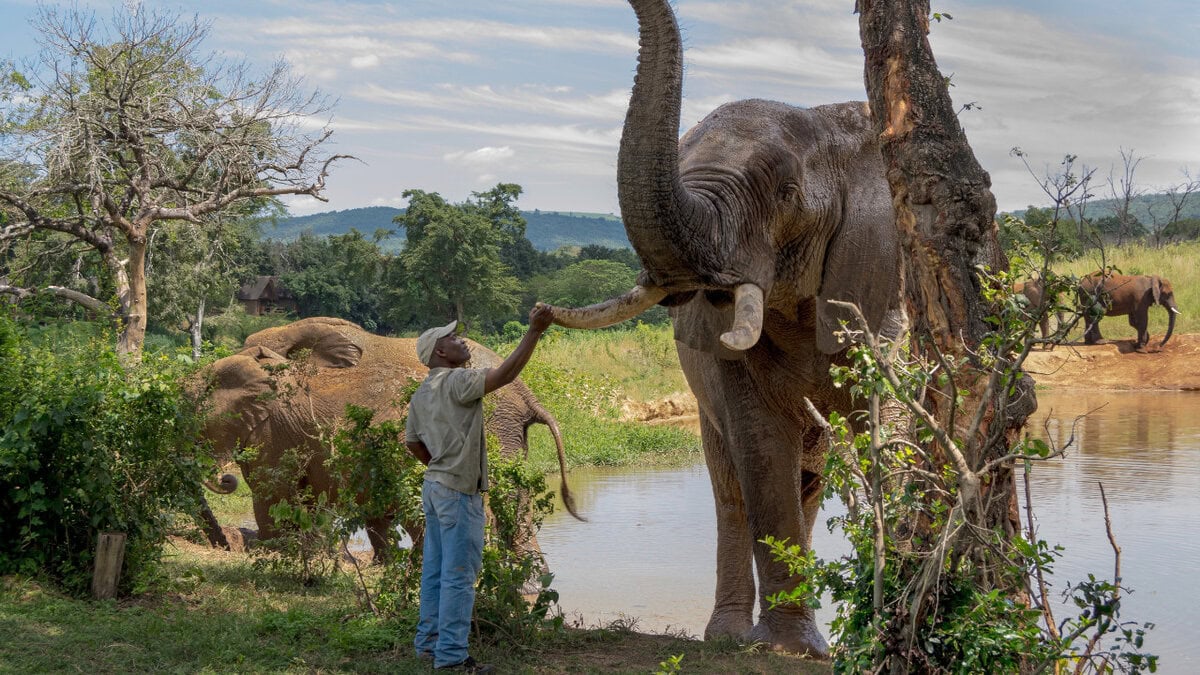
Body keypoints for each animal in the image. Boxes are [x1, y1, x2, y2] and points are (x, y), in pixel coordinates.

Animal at [540, 0, 905, 657]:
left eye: (787, 195)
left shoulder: (884, 287)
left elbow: (882, 431)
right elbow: (760, 455)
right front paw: (788, 650)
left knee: (808, 480)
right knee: (734, 490)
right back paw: (731, 638)